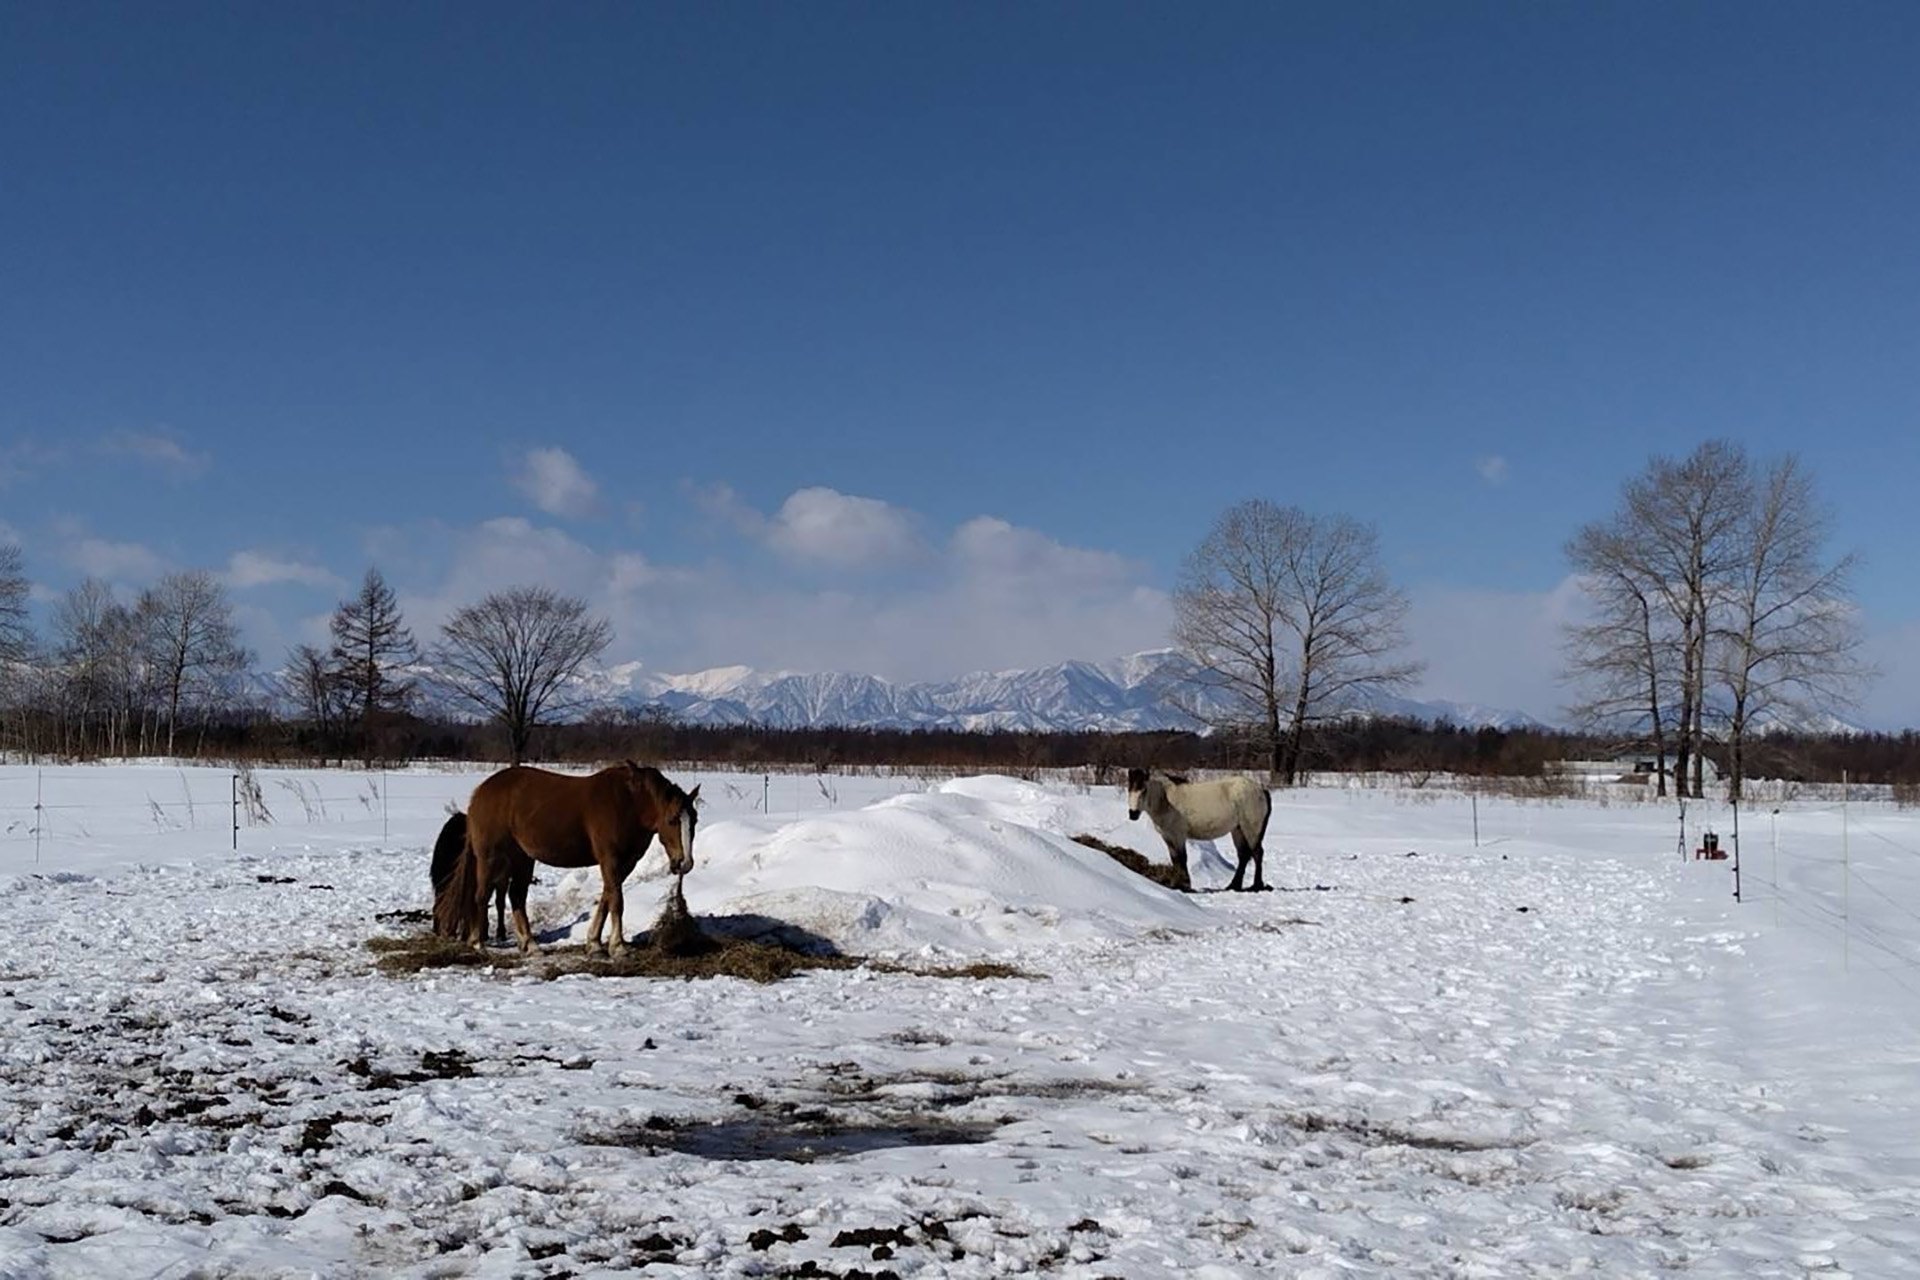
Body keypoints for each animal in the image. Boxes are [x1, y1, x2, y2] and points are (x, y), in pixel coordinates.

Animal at [432, 761, 700, 955]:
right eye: (672, 820)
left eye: (694, 820)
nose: (684, 863)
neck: (628, 803)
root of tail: (479, 794)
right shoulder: (610, 860)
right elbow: (617, 901)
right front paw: (618, 946)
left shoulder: (624, 863)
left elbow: (606, 898)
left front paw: (594, 943)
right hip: (491, 858)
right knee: (481, 896)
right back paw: (478, 943)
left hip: (522, 859)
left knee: (516, 897)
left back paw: (530, 945)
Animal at [1124, 767, 1272, 892]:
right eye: (1129, 789)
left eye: (1144, 790)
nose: (1133, 813)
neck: (1165, 800)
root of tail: (1261, 789)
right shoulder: (1167, 836)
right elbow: (1175, 860)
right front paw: (1177, 884)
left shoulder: (1178, 835)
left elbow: (1182, 859)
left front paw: (1185, 885)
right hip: (1238, 830)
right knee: (1243, 856)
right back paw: (1233, 886)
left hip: (1251, 829)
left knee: (1257, 853)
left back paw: (1256, 886)